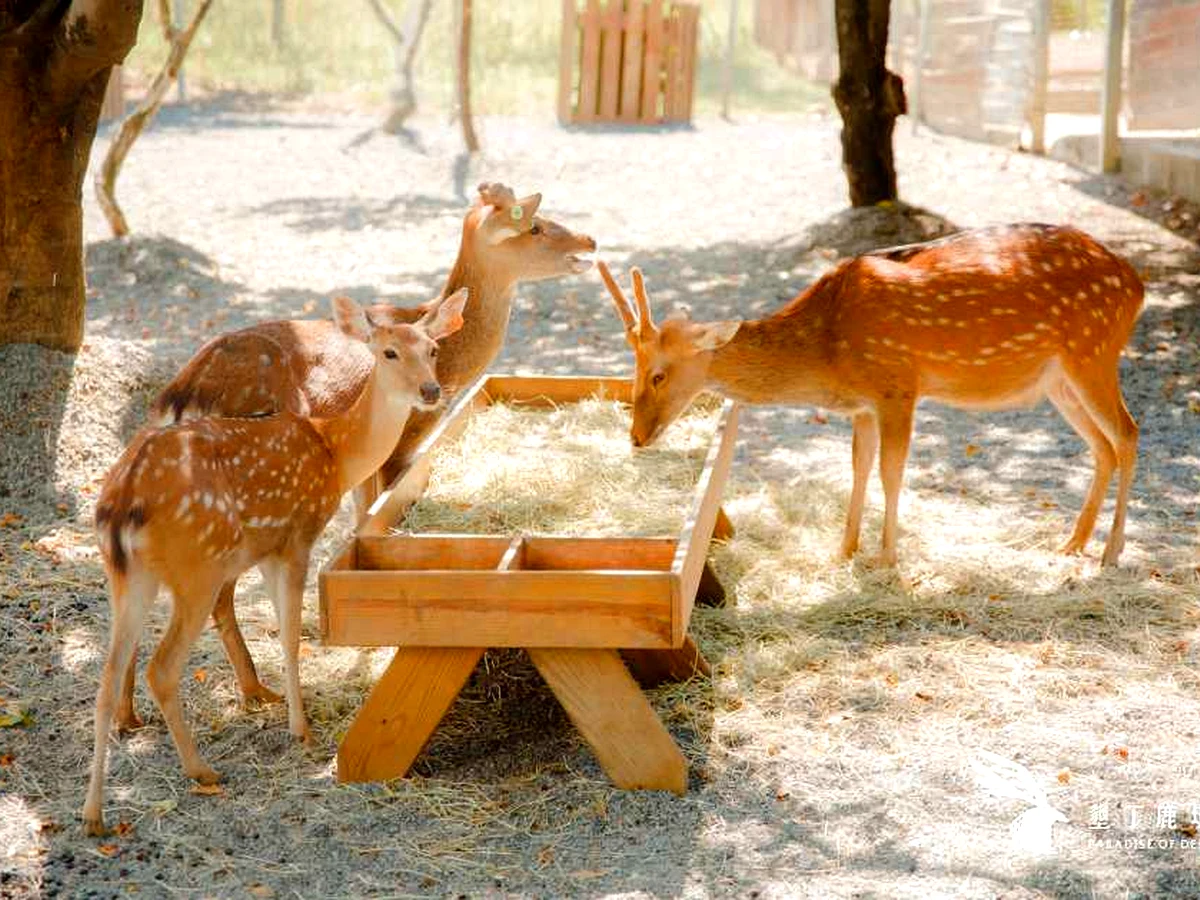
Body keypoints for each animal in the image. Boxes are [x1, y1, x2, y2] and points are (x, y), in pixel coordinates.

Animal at [82, 290, 467, 837]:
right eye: (389, 352)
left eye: (432, 349)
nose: (431, 390)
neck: (334, 451)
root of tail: (122, 504)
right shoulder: (296, 536)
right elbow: (290, 636)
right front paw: (301, 729)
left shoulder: (266, 551)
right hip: (197, 567)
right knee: (163, 667)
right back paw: (201, 770)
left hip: (128, 577)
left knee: (107, 678)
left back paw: (93, 813)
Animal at [147, 182, 595, 714]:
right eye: (535, 226)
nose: (589, 241)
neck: (448, 362)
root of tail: (182, 394)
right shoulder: (397, 448)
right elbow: (373, 522)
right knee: (217, 589)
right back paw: (257, 689)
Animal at [598, 224, 1144, 568]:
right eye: (634, 366)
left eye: (659, 374)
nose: (636, 436)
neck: (829, 352)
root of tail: (1137, 285)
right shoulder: (861, 405)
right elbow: (858, 467)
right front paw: (844, 550)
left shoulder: (897, 386)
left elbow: (891, 471)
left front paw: (887, 557)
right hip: (1057, 379)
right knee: (1102, 445)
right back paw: (1073, 543)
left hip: (1092, 351)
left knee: (1128, 433)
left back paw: (1111, 551)